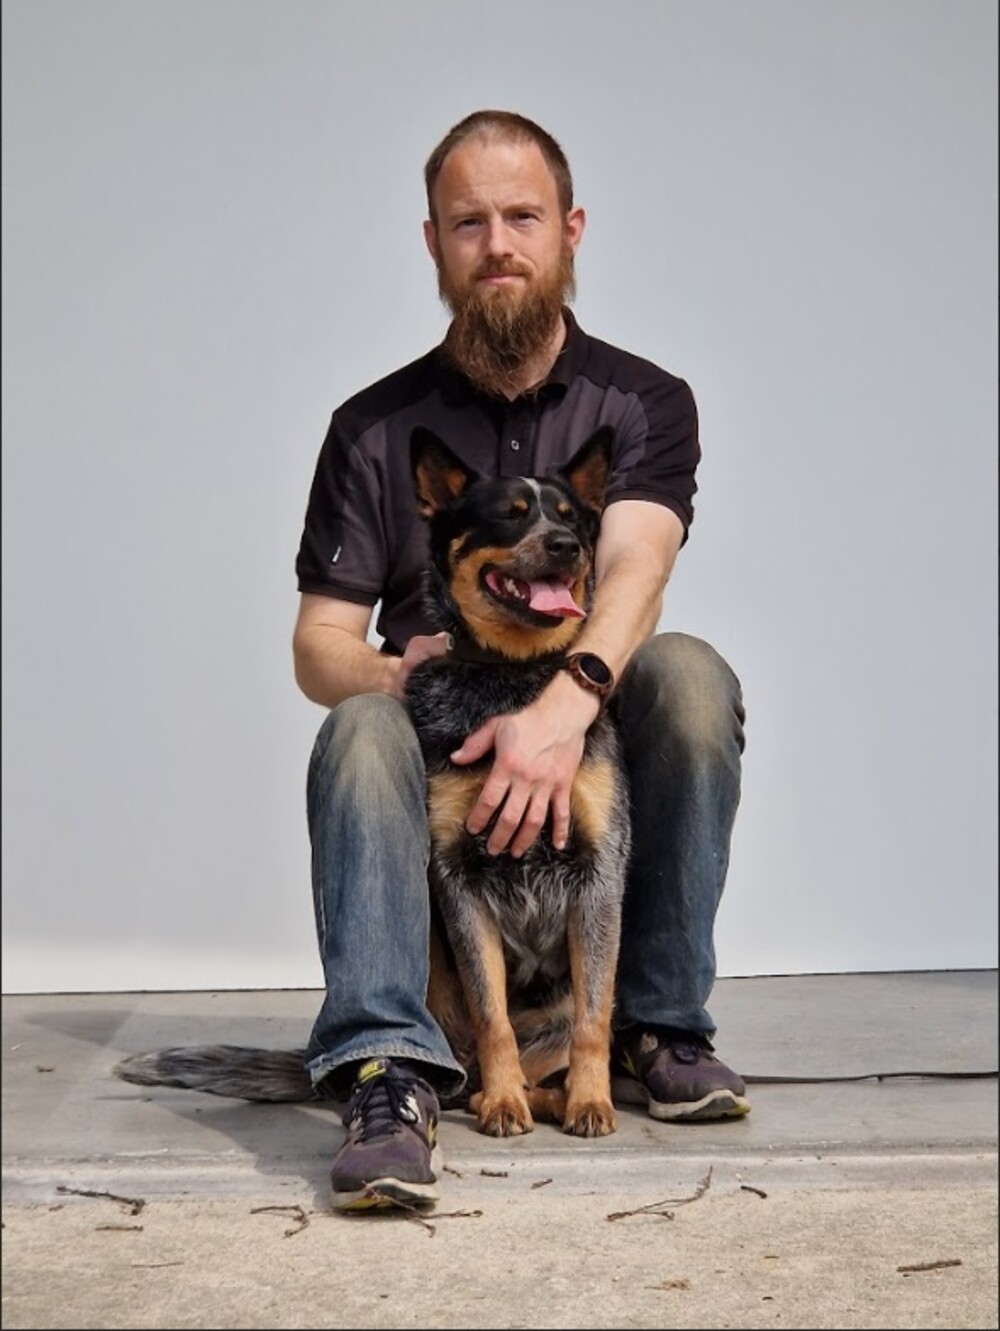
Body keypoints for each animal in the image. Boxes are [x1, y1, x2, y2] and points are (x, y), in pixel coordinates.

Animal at [114, 425, 630, 1140]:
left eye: (573, 517)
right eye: (511, 514)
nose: (566, 546)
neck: (509, 679)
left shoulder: (599, 872)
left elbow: (592, 1016)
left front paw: (589, 1100)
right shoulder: (458, 876)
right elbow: (493, 1015)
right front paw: (504, 1103)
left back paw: (559, 1095)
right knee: (467, 1067)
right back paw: (476, 1091)